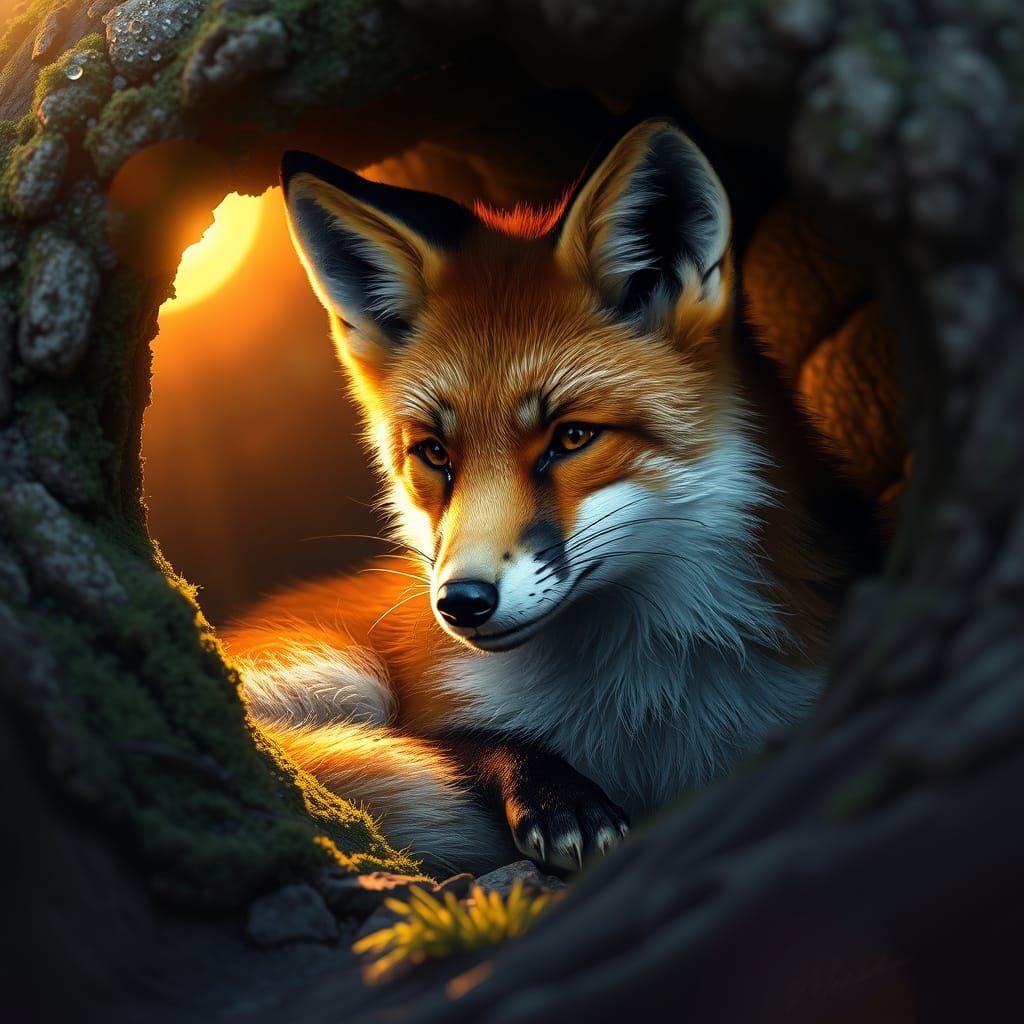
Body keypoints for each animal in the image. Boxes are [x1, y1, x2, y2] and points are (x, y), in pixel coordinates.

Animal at [223, 119, 875, 876]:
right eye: (436, 454)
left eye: (571, 437)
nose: (461, 603)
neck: (643, 706)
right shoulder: (424, 697)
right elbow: (456, 741)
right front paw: (559, 795)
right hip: (339, 672)